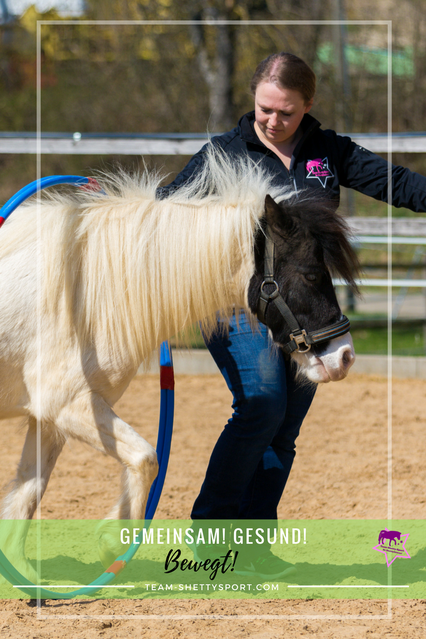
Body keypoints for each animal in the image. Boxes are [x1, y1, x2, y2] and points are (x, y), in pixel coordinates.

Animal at [0, 145, 358, 576]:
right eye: (310, 275)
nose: (344, 355)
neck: (81, 293)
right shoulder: (68, 405)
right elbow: (145, 458)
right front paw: (110, 541)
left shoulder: (49, 418)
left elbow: (28, 493)